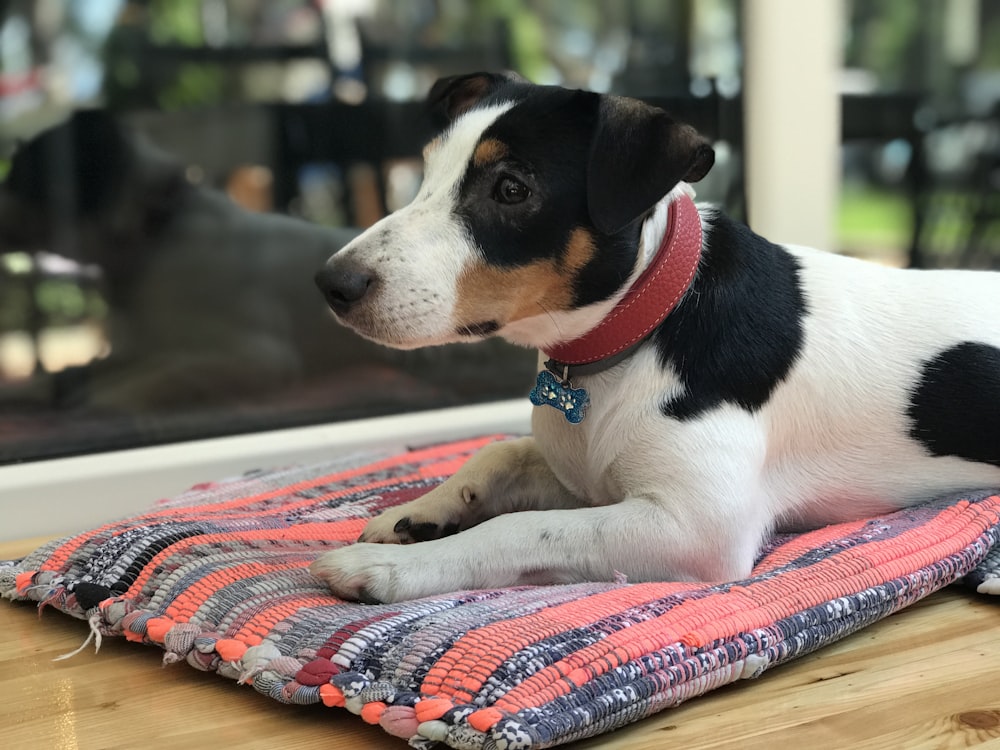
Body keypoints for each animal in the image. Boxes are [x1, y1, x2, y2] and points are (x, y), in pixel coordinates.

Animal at [310, 67, 1000, 604]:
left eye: (511, 188)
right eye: (426, 173)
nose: (331, 282)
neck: (643, 327)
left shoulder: (695, 526)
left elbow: (520, 528)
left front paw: (394, 567)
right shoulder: (582, 479)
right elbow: (498, 453)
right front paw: (417, 512)